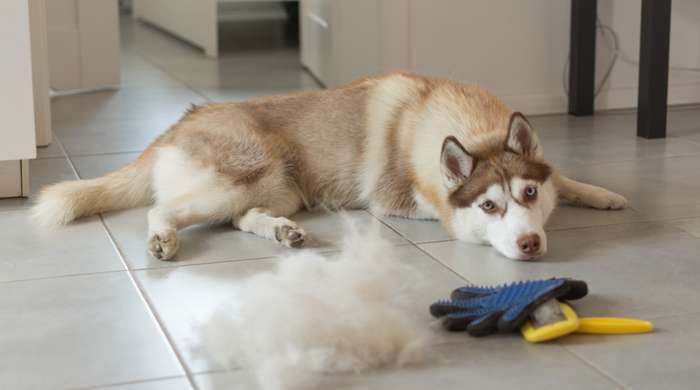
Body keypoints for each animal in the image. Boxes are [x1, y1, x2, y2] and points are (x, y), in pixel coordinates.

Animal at [34, 74, 628, 262]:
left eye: (528, 194)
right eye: (488, 205)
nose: (531, 244)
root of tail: (178, 123)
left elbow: (565, 177)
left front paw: (603, 194)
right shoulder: (393, 199)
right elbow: (440, 211)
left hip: (282, 188)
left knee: (240, 218)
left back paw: (282, 232)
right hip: (247, 173)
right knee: (164, 208)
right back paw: (162, 238)